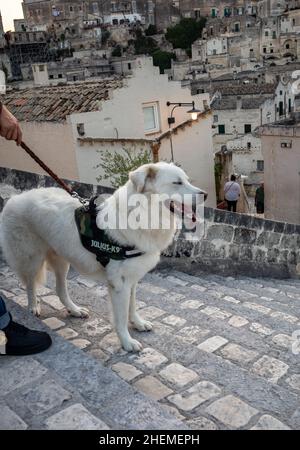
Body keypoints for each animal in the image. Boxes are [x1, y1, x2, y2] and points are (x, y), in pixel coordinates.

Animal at [0, 162, 206, 352]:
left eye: (187, 180)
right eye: (177, 183)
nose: (205, 195)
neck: (141, 214)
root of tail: (15, 198)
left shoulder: (132, 280)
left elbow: (132, 306)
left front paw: (138, 323)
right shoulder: (119, 284)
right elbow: (120, 317)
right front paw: (127, 342)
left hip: (62, 260)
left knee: (60, 289)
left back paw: (74, 310)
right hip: (31, 259)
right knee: (30, 284)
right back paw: (32, 307)